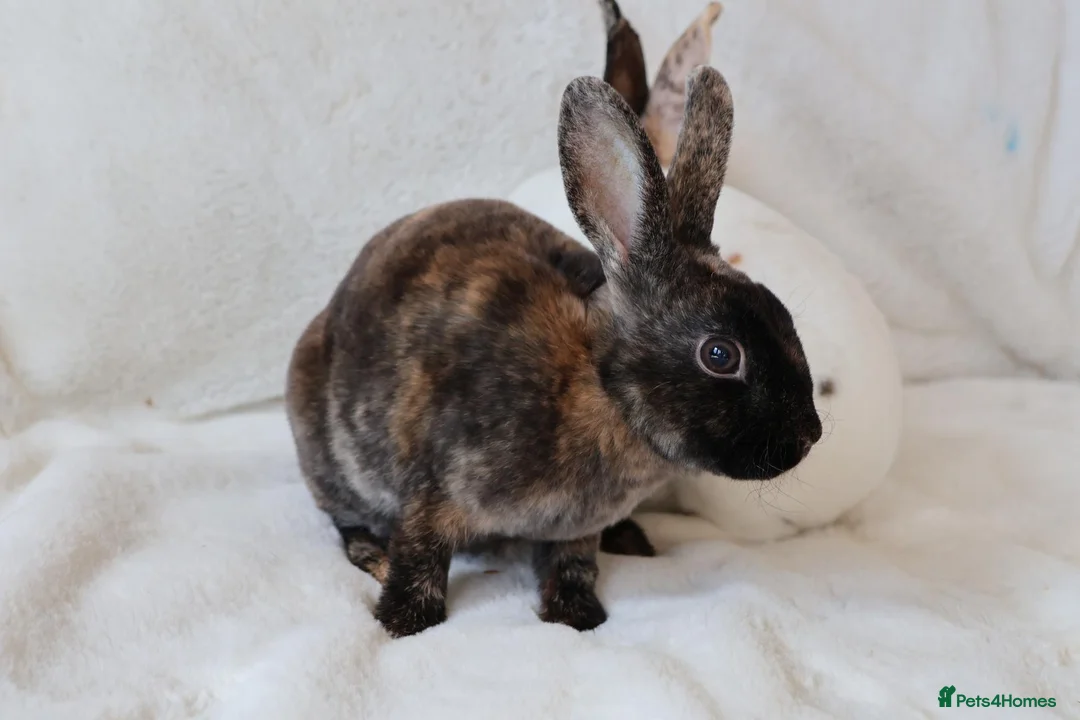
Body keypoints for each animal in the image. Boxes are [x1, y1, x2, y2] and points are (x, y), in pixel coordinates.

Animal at [285, 63, 823, 638]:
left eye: (784, 315)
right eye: (720, 355)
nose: (810, 435)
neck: (599, 387)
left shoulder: (573, 530)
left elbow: (573, 565)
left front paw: (576, 617)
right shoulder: (432, 494)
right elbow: (421, 557)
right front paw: (406, 622)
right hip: (327, 458)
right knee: (346, 520)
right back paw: (374, 555)